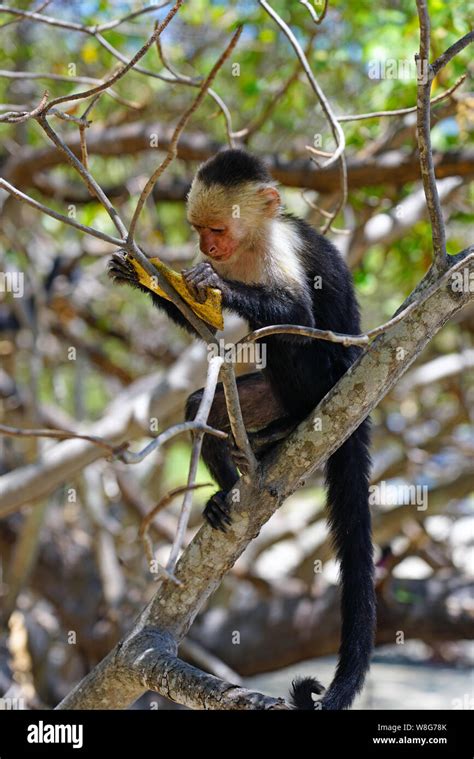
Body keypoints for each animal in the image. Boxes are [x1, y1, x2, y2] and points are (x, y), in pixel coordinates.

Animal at [107, 148, 374, 712]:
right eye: (198, 229)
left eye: (217, 229)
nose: (207, 247)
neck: (250, 243)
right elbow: (203, 321)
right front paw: (141, 274)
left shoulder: (280, 248)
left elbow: (295, 312)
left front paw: (219, 283)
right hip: (263, 396)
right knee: (204, 407)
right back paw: (231, 482)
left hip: (328, 375)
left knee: (296, 342)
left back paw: (296, 420)